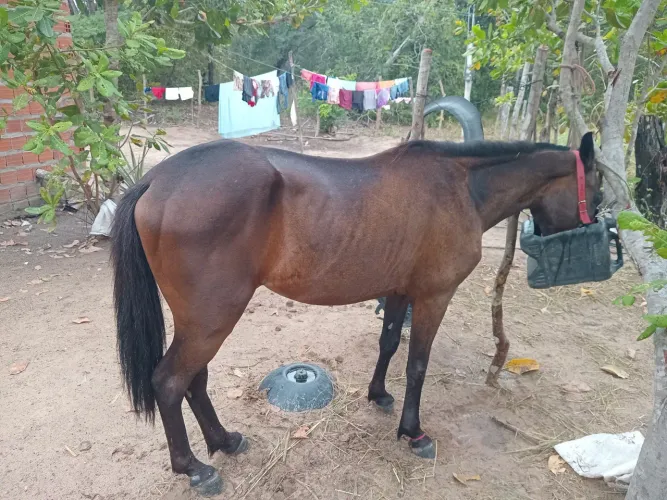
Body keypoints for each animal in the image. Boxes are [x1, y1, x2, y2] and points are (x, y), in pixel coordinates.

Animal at [111, 131, 601, 496]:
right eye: (597, 187)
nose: (601, 227)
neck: (461, 188)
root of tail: (157, 180)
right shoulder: (434, 296)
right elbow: (417, 364)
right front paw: (413, 432)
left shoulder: (400, 291)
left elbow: (389, 343)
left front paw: (379, 395)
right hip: (211, 319)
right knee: (169, 382)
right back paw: (195, 468)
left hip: (200, 321)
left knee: (194, 380)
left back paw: (223, 441)